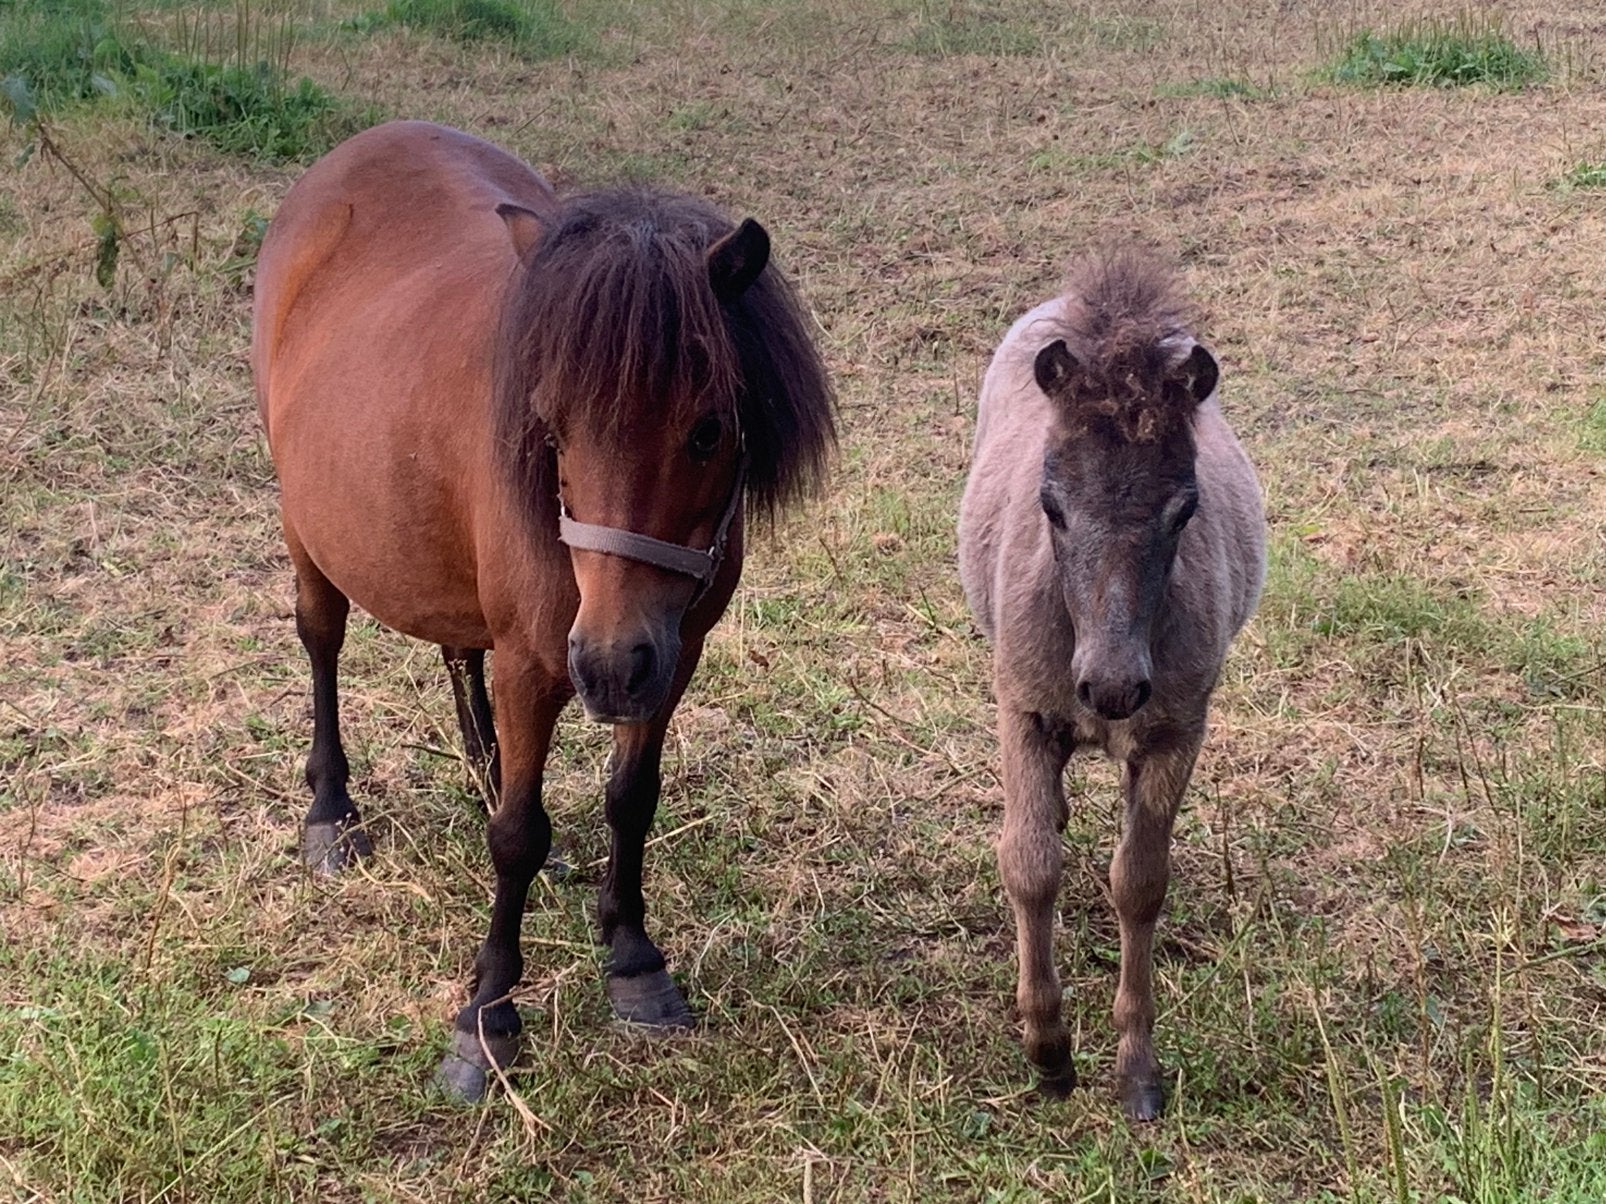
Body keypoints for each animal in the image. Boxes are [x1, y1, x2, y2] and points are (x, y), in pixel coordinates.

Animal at [251, 120, 835, 1100]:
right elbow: (517, 837)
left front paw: (633, 957)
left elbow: (631, 798)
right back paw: (332, 810)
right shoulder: (539, 662)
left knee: (458, 654)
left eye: (708, 429)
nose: (605, 664)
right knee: (321, 637)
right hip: (308, 527)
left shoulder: (673, 653)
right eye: (552, 428)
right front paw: (485, 1017)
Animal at [957, 247, 1265, 1120]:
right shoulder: (1022, 709)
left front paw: (1135, 1068)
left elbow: (1140, 883)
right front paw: (1049, 1051)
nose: (1112, 688)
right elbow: (1029, 864)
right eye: (1051, 505)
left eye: (1185, 509)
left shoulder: (1175, 732)